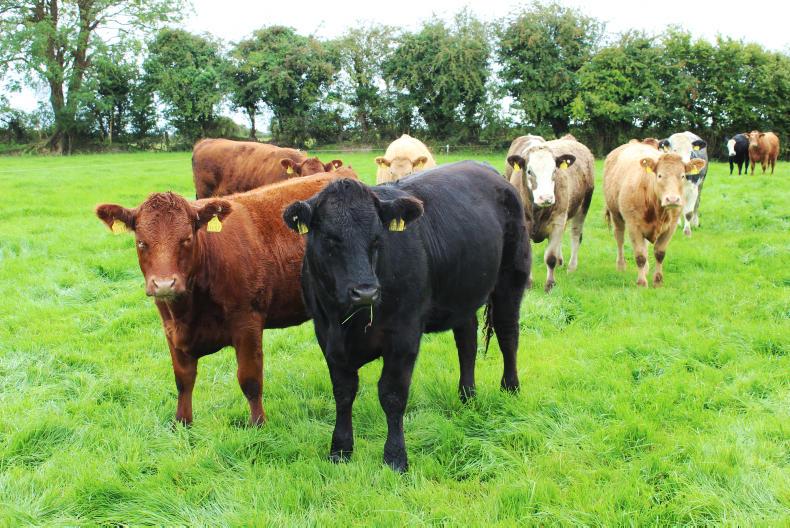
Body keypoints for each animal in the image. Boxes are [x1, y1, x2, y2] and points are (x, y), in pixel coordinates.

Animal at [95, 169, 356, 426]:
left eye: (186, 238)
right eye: (141, 242)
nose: (164, 284)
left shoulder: (248, 323)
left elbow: (250, 380)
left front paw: (258, 424)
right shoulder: (170, 330)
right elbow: (183, 380)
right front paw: (182, 423)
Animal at [282, 161, 530, 472]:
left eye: (377, 239)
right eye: (330, 239)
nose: (365, 291)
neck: (351, 322)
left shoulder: (404, 335)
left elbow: (392, 395)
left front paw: (395, 457)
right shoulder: (327, 335)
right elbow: (343, 391)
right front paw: (340, 450)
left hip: (511, 278)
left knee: (508, 335)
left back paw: (510, 389)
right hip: (463, 294)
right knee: (467, 344)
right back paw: (467, 396)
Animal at [505, 134, 594, 292]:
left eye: (554, 171)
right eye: (529, 171)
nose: (546, 197)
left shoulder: (557, 221)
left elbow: (550, 257)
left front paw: (550, 284)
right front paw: (528, 284)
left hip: (583, 206)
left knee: (576, 235)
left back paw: (571, 267)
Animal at [603, 142, 706, 287]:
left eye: (682, 176)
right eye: (660, 175)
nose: (672, 199)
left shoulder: (671, 227)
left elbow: (659, 253)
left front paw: (658, 281)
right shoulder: (633, 226)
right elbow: (640, 255)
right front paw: (641, 282)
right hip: (616, 214)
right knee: (619, 238)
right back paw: (621, 265)